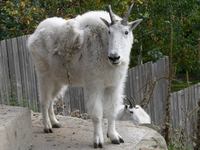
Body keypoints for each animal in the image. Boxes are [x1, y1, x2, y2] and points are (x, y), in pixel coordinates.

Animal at [27, 4, 142, 148]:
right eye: (109, 32)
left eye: (126, 32)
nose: (114, 57)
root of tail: (34, 35)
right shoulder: (94, 85)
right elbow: (97, 114)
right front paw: (98, 141)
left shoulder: (114, 86)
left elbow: (112, 111)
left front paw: (114, 137)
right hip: (44, 75)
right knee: (44, 100)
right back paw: (47, 126)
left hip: (58, 80)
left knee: (51, 100)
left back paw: (55, 123)